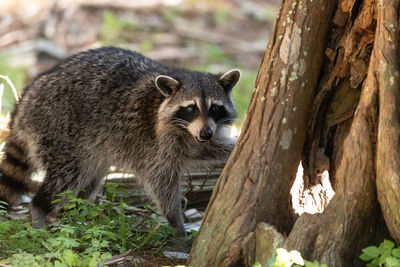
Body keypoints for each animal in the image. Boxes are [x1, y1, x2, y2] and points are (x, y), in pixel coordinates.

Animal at [0, 47, 239, 238]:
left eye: (215, 108)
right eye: (190, 108)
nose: (206, 133)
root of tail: (25, 101)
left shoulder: (195, 137)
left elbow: (207, 149)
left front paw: (231, 148)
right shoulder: (154, 143)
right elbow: (161, 183)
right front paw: (176, 222)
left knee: (89, 180)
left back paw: (74, 214)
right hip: (58, 130)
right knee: (66, 176)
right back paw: (39, 207)